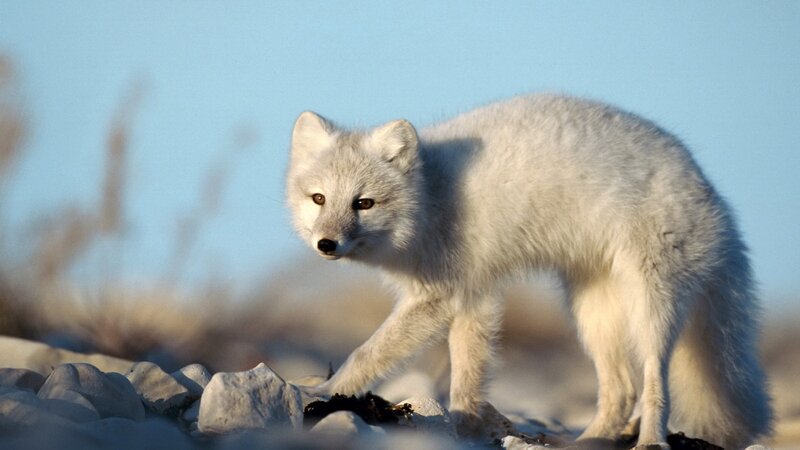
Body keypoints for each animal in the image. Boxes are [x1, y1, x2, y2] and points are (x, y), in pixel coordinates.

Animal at [285, 94, 772, 449]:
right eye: (319, 199)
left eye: (363, 203)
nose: (326, 244)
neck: (431, 197)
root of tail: (710, 192)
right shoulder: (473, 297)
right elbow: (467, 377)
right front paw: (464, 427)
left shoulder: (444, 297)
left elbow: (366, 353)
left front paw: (324, 393)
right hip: (592, 314)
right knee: (620, 391)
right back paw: (586, 441)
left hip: (651, 308)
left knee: (653, 385)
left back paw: (650, 441)